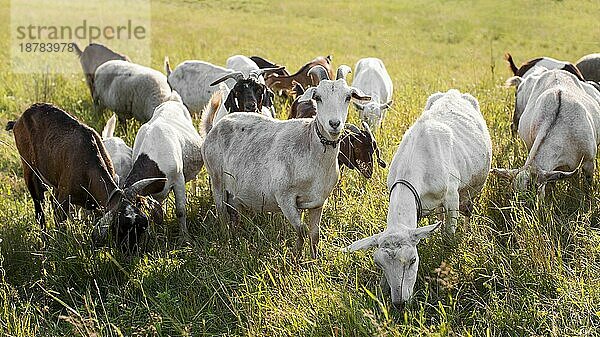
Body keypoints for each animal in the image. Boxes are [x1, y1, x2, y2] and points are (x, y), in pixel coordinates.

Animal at [7, 103, 162, 251]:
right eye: (120, 227)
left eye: (143, 226)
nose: (132, 252)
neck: (89, 166)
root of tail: (19, 119)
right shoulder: (63, 200)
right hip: (29, 171)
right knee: (39, 209)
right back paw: (44, 240)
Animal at [203, 76, 370, 256]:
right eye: (318, 98)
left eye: (348, 97)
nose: (334, 123)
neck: (311, 144)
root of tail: (215, 126)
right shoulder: (285, 198)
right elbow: (301, 231)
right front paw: (295, 257)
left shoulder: (318, 202)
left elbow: (314, 235)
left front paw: (314, 259)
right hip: (216, 179)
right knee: (222, 214)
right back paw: (226, 242)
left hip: (235, 193)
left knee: (235, 214)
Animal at [344, 88, 490, 308]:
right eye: (379, 263)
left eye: (413, 260)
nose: (399, 303)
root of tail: (453, 92)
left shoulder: (452, 197)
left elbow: (448, 236)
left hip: (471, 189)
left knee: (467, 211)